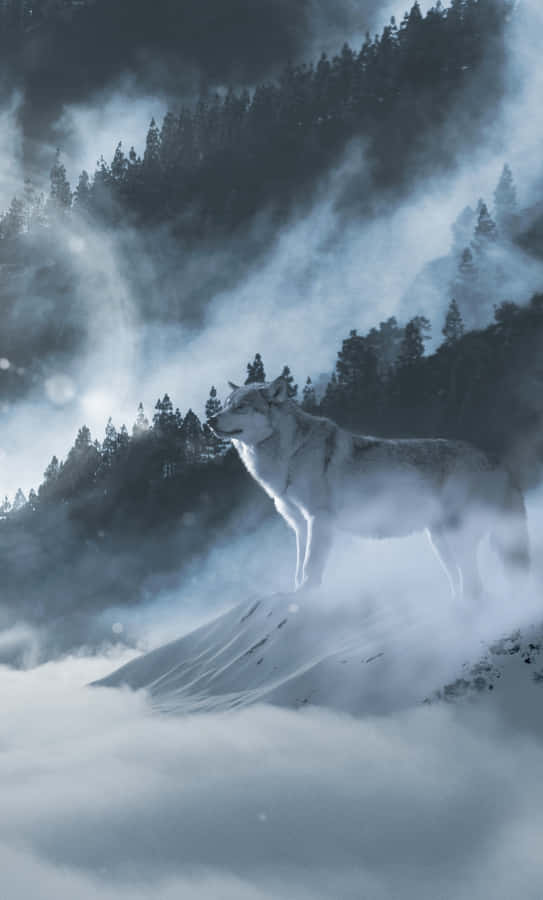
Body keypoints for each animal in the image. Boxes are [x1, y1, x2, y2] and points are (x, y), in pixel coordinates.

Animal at [208, 375, 530, 598]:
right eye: (224, 405)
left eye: (241, 407)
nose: (210, 420)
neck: (289, 455)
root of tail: (499, 462)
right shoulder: (299, 525)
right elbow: (298, 570)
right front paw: (294, 594)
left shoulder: (318, 520)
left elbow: (311, 568)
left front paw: (305, 598)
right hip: (440, 543)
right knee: (465, 584)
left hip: (457, 538)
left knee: (476, 586)